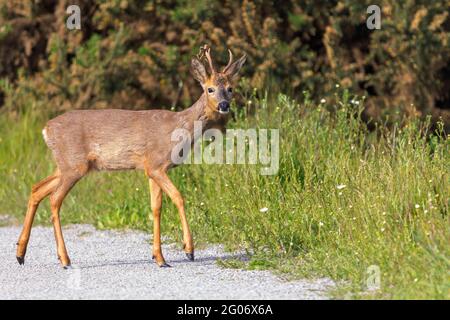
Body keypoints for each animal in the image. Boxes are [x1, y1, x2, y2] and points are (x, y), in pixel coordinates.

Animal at [16, 45, 246, 268]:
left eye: (230, 88)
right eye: (210, 89)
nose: (224, 105)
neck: (181, 128)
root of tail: (46, 129)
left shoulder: (151, 169)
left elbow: (156, 207)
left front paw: (159, 258)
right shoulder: (156, 164)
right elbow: (178, 197)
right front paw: (188, 250)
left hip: (65, 165)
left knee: (37, 189)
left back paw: (20, 253)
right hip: (74, 164)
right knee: (54, 200)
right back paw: (64, 259)